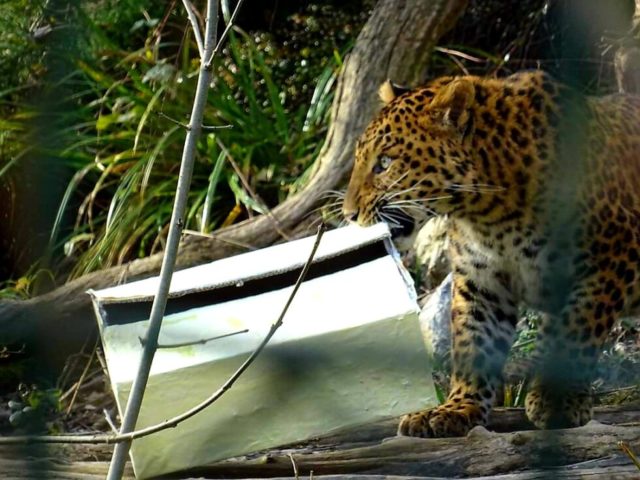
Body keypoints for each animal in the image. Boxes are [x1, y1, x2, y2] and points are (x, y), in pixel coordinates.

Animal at [342, 70, 640, 437]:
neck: (490, 212)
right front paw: (457, 408)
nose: (349, 214)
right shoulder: (481, 280)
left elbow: (574, 331)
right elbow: (474, 343)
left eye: (384, 162)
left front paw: (556, 401)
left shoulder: (611, 259)